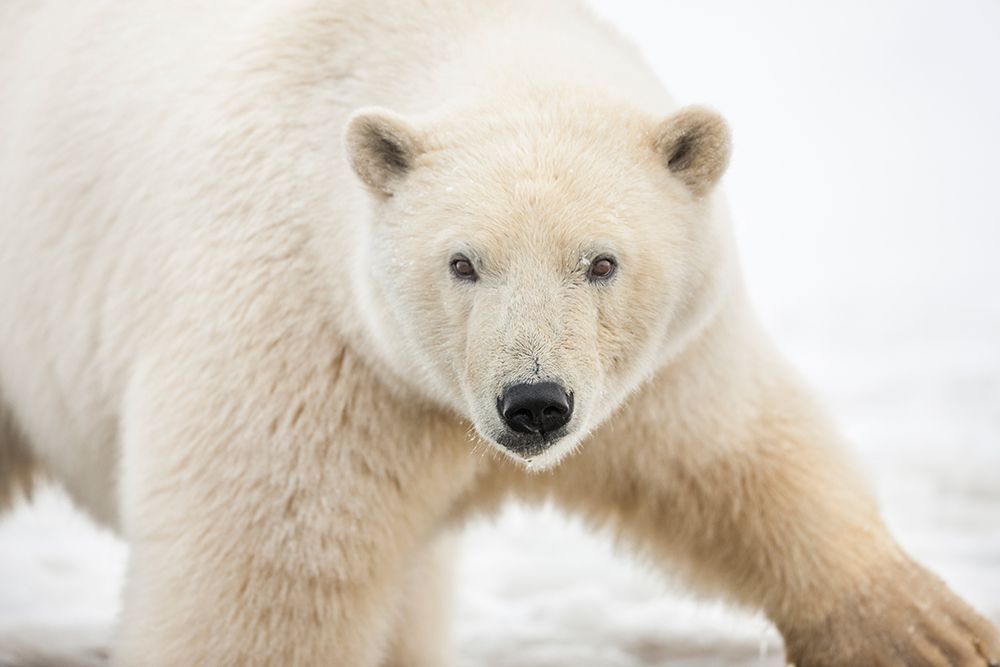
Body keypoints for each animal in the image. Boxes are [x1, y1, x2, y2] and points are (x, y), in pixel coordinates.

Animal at [0, 0, 997, 665]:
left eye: (601, 261)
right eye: (463, 262)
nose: (535, 403)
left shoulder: (659, 363)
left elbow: (736, 455)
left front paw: (931, 630)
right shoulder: (318, 348)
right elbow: (269, 571)